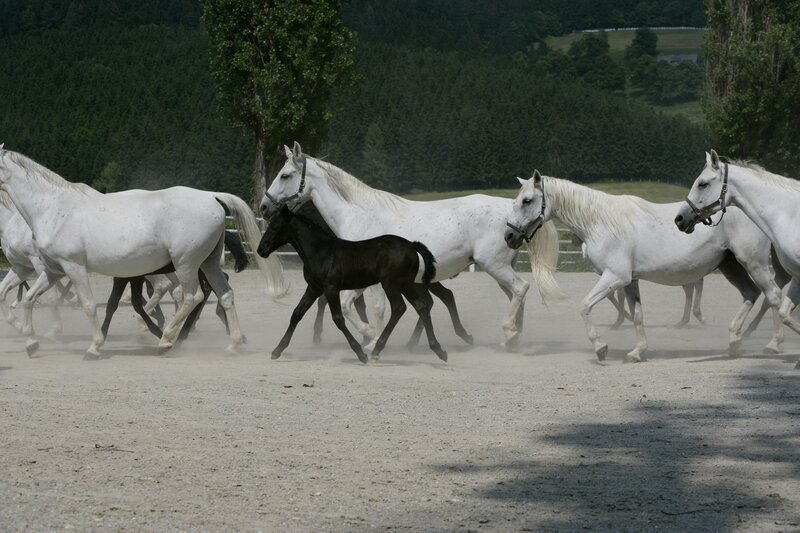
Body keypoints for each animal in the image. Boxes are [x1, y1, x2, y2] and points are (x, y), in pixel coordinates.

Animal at [0, 146, 287, 358]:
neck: (55, 209)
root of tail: (211, 197)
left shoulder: (74, 268)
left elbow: (89, 305)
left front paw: (94, 347)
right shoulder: (53, 270)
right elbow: (29, 299)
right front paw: (31, 343)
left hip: (186, 264)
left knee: (191, 297)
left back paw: (167, 340)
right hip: (209, 263)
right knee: (225, 294)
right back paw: (232, 344)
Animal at [258, 205, 447, 363]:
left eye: (275, 227)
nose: (261, 249)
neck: (321, 252)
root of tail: (411, 245)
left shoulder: (331, 288)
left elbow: (338, 319)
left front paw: (360, 353)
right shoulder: (314, 288)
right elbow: (297, 314)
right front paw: (277, 350)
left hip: (391, 284)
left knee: (399, 308)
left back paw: (376, 350)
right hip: (406, 284)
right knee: (421, 306)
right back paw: (439, 350)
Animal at [505, 170, 783, 362]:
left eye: (527, 200)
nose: (509, 236)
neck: (600, 221)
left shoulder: (614, 277)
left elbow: (584, 307)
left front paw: (600, 347)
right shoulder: (630, 281)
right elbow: (638, 316)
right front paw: (638, 352)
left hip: (754, 263)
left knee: (773, 296)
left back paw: (773, 344)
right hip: (731, 266)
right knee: (751, 294)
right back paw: (735, 340)